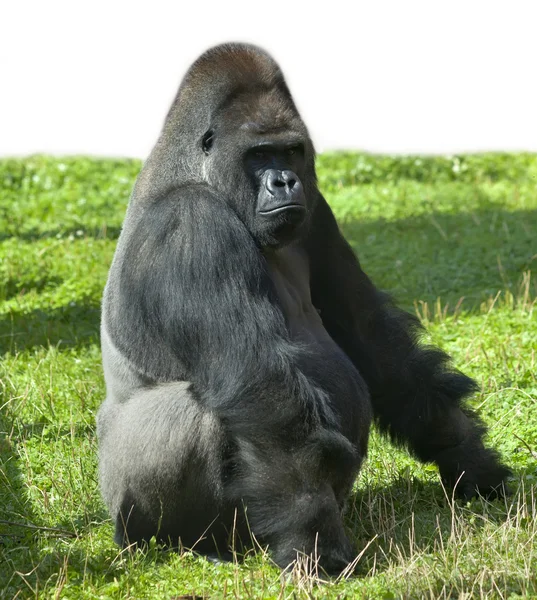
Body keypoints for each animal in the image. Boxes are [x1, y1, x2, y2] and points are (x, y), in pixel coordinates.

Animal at [97, 41, 510, 572]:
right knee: (193, 419)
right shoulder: (191, 225)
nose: (284, 182)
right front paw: (315, 544)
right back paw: (201, 544)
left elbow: (375, 341)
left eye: (291, 150)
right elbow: (263, 391)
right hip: (128, 513)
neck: (198, 172)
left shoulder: (317, 210)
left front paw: (466, 456)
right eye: (259, 155)